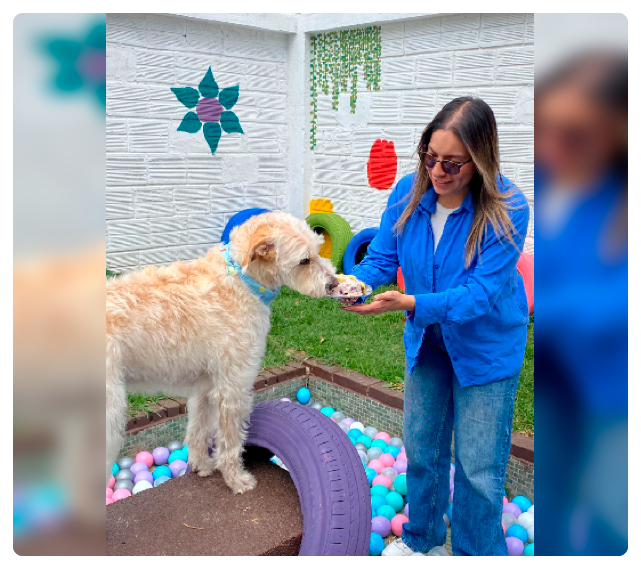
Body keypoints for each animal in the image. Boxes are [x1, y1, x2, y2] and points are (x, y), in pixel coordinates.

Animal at [106, 211, 339, 494]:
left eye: (318, 250)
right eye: (304, 260)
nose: (334, 284)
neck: (240, 279)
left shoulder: (206, 385)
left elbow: (198, 429)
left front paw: (201, 466)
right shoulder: (233, 386)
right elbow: (230, 440)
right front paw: (236, 479)